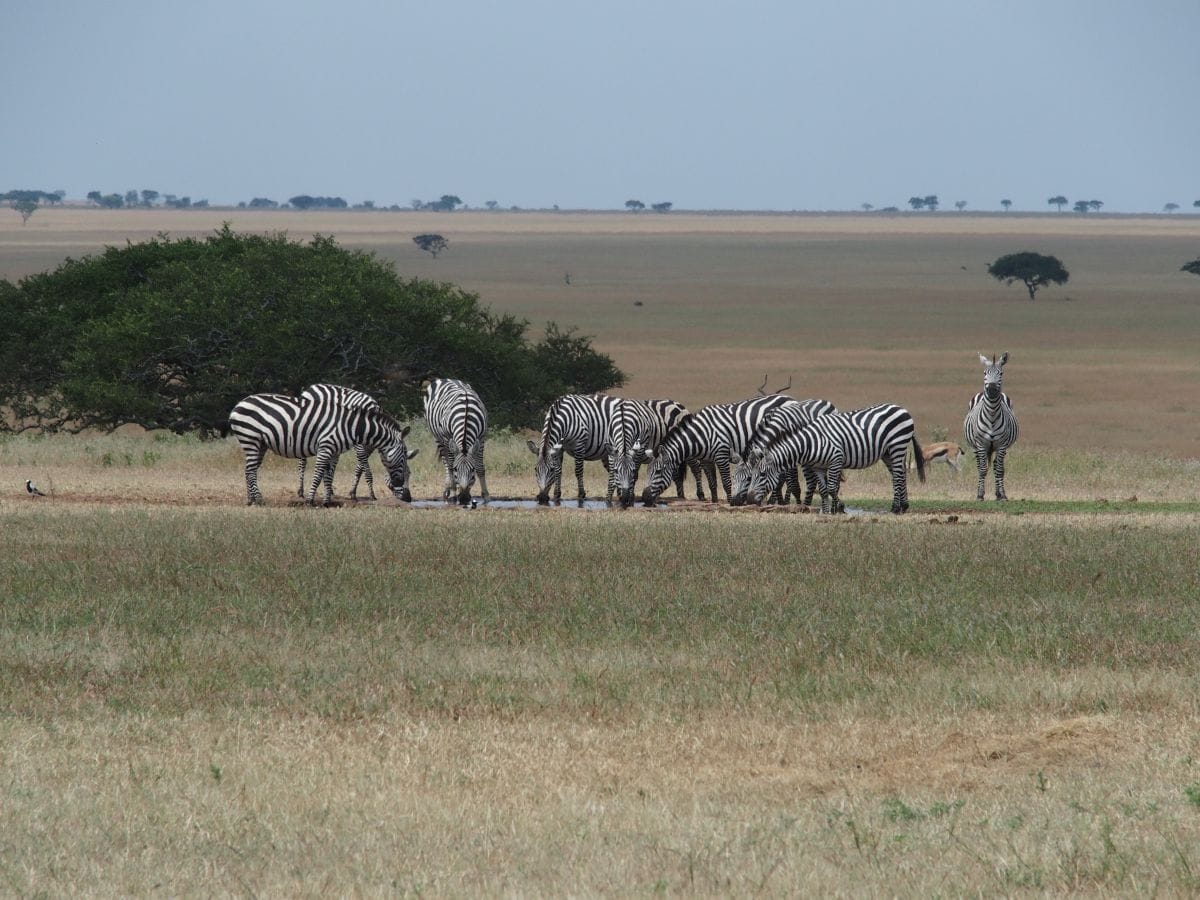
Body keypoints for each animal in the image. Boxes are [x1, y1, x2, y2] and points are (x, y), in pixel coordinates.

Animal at [226, 393, 420, 508]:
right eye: (403, 459)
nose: (409, 499)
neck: (352, 427)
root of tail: (238, 404)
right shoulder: (326, 446)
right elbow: (319, 473)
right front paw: (311, 500)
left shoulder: (333, 451)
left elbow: (329, 475)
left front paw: (327, 501)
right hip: (250, 439)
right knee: (251, 471)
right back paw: (259, 500)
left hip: (260, 444)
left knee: (248, 470)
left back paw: (251, 499)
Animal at [422, 379, 487, 508]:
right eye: (457, 469)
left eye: (472, 469)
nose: (464, 499)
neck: (467, 415)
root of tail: (445, 379)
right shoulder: (448, 439)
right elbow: (451, 466)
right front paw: (453, 494)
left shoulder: (481, 439)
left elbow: (480, 467)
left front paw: (486, 496)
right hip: (438, 438)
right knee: (446, 463)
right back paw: (448, 490)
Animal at [638, 393, 796, 508]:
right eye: (647, 471)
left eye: (658, 472)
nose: (645, 498)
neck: (701, 435)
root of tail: (791, 399)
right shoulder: (706, 459)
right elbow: (712, 482)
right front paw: (714, 502)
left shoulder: (722, 454)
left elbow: (726, 482)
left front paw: (730, 501)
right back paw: (777, 500)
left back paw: (778, 501)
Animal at [729, 408, 926, 513]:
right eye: (752, 475)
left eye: (761, 474)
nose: (747, 500)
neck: (811, 442)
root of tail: (901, 408)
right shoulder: (818, 466)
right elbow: (823, 489)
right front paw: (825, 510)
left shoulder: (835, 460)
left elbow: (831, 488)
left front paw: (839, 508)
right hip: (887, 452)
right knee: (898, 475)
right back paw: (904, 505)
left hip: (897, 445)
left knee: (898, 475)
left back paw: (895, 508)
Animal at [960, 352, 1017, 504]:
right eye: (985, 373)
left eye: (1001, 373)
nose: (991, 390)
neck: (991, 415)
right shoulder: (980, 444)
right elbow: (982, 469)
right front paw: (980, 495)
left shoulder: (1002, 445)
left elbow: (999, 470)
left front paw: (1003, 496)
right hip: (976, 447)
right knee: (980, 465)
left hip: (1000, 447)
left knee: (998, 466)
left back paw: (998, 494)